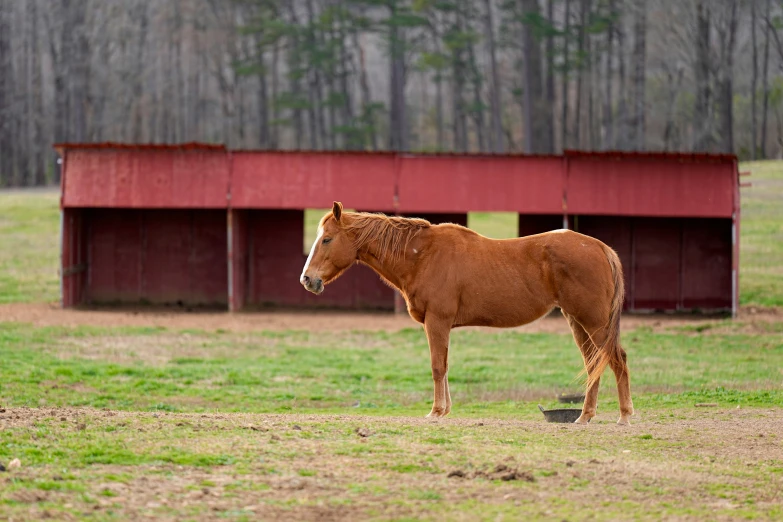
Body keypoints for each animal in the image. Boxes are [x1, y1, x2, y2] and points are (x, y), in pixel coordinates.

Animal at [300, 201, 636, 424]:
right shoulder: (441, 325)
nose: (307, 279)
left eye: (327, 239)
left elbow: (437, 366)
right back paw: (585, 416)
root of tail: (600, 248)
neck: (422, 256)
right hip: (578, 321)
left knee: (616, 359)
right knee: (594, 363)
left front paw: (436, 412)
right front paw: (444, 409)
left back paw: (624, 416)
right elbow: (445, 366)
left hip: (593, 322)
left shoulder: (437, 322)